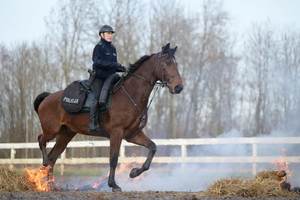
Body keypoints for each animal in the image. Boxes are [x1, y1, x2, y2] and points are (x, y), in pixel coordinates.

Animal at [32, 42, 183, 192]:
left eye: (176, 63)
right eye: (168, 62)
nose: (179, 87)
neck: (130, 95)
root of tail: (48, 96)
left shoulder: (133, 134)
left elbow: (152, 147)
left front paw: (134, 172)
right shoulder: (117, 133)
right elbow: (113, 159)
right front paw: (113, 185)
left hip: (65, 135)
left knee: (53, 158)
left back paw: (51, 185)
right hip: (51, 130)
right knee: (41, 142)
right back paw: (45, 167)